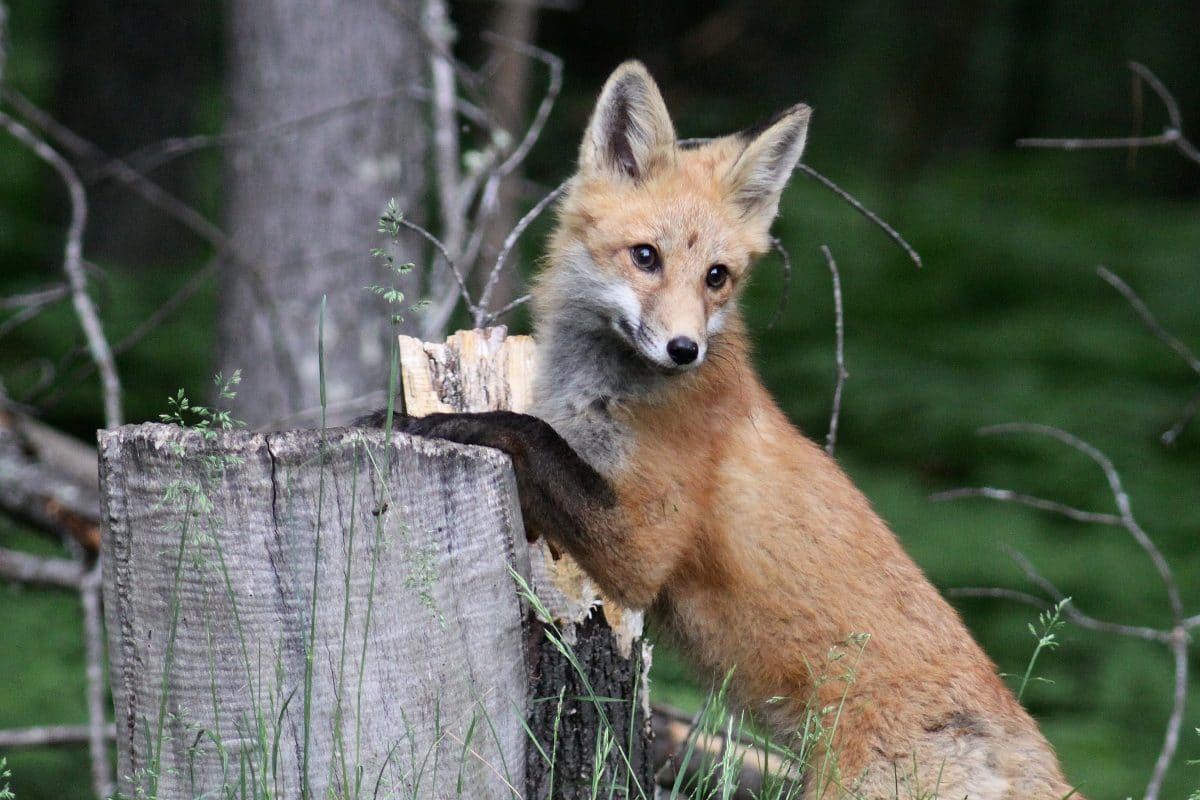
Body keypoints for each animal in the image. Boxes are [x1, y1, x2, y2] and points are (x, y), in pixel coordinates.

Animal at [383, 62, 1082, 798]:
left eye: (717, 277)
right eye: (645, 257)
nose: (684, 349)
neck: (598, 392)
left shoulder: (644, 545)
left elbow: (523, 432)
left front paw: (436, 421)